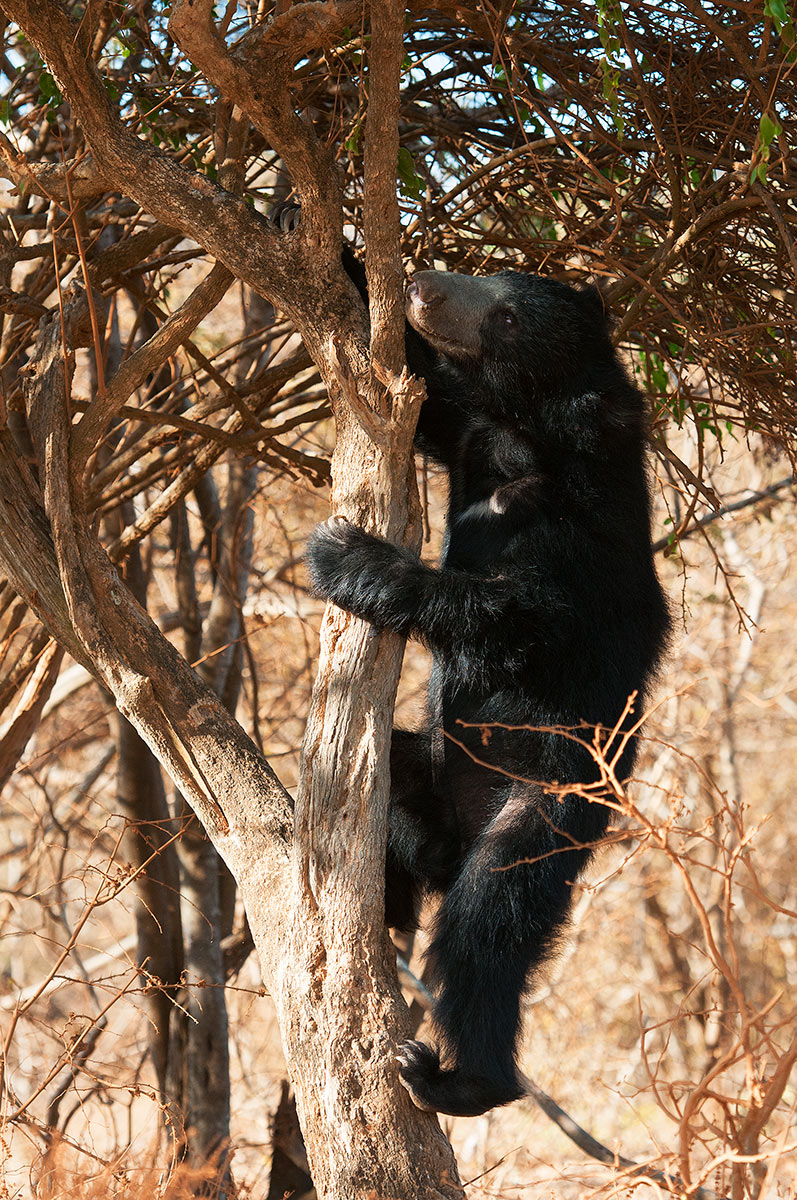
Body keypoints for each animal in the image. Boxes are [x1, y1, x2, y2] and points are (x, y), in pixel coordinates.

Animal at [302, 231, 672, 1118]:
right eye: (487, 277)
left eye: (504, 316)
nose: (423, 286)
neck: (525, 437)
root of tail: (455, 838)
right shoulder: (469, 434)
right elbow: (426, 402)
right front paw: (317, 234)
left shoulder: (576, 552)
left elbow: (507, 616)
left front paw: (341, 553)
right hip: (424, 777)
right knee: (395, 788)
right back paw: (386, 910)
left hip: (546, 809)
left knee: (485, 928)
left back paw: (457, 1078)